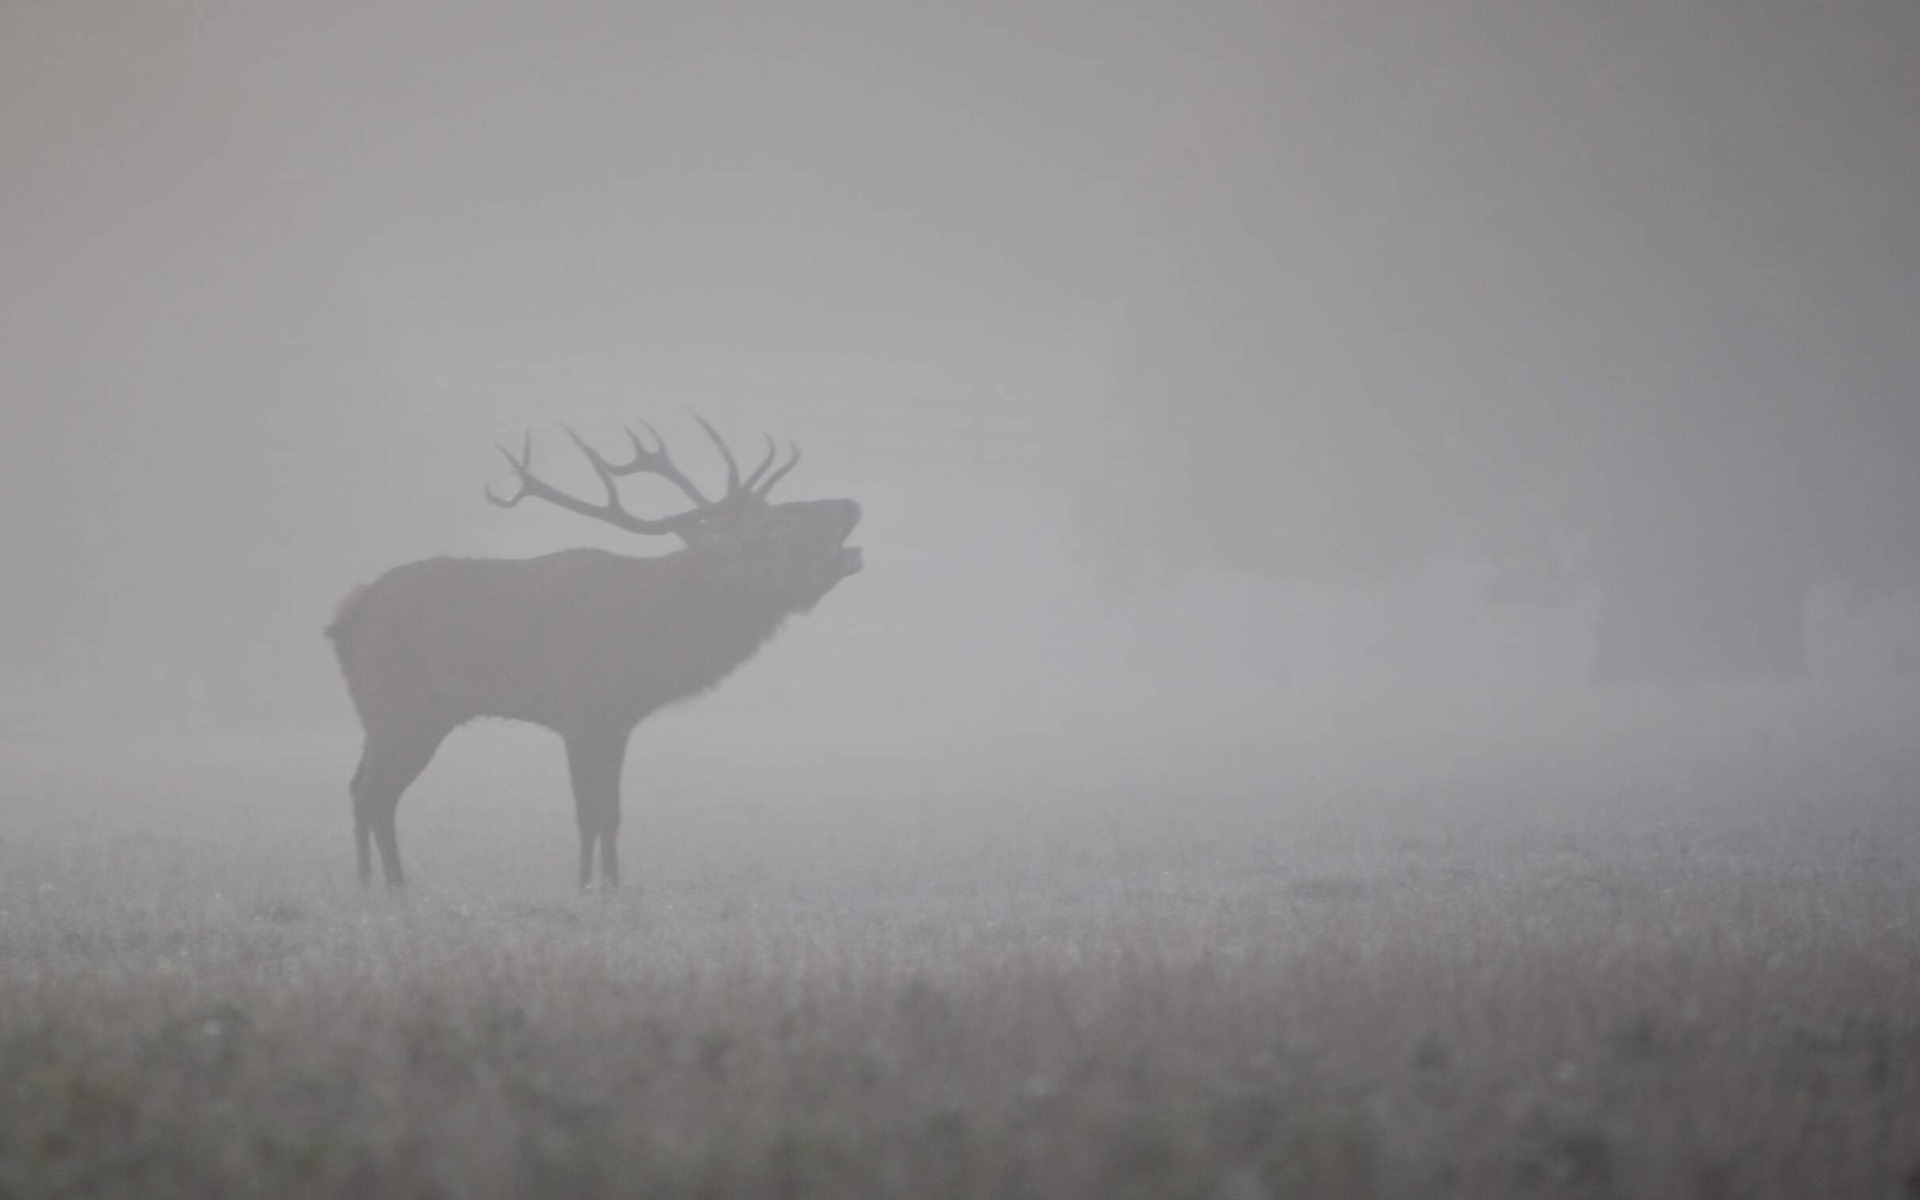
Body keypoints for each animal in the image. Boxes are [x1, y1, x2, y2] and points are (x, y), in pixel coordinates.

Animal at [326, 418, 867, 890]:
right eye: (776, 523)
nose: (851, 503)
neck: (652, 640)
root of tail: (346, 615)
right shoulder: (580, 711)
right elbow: (588, 810)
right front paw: (585, 886)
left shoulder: (618, 719)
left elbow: (612, 812)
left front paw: (613, 884)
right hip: (393, 704)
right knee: (368, 790)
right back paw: (375, 886)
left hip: (425, 716)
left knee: (372, 790)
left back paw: (388, 884)